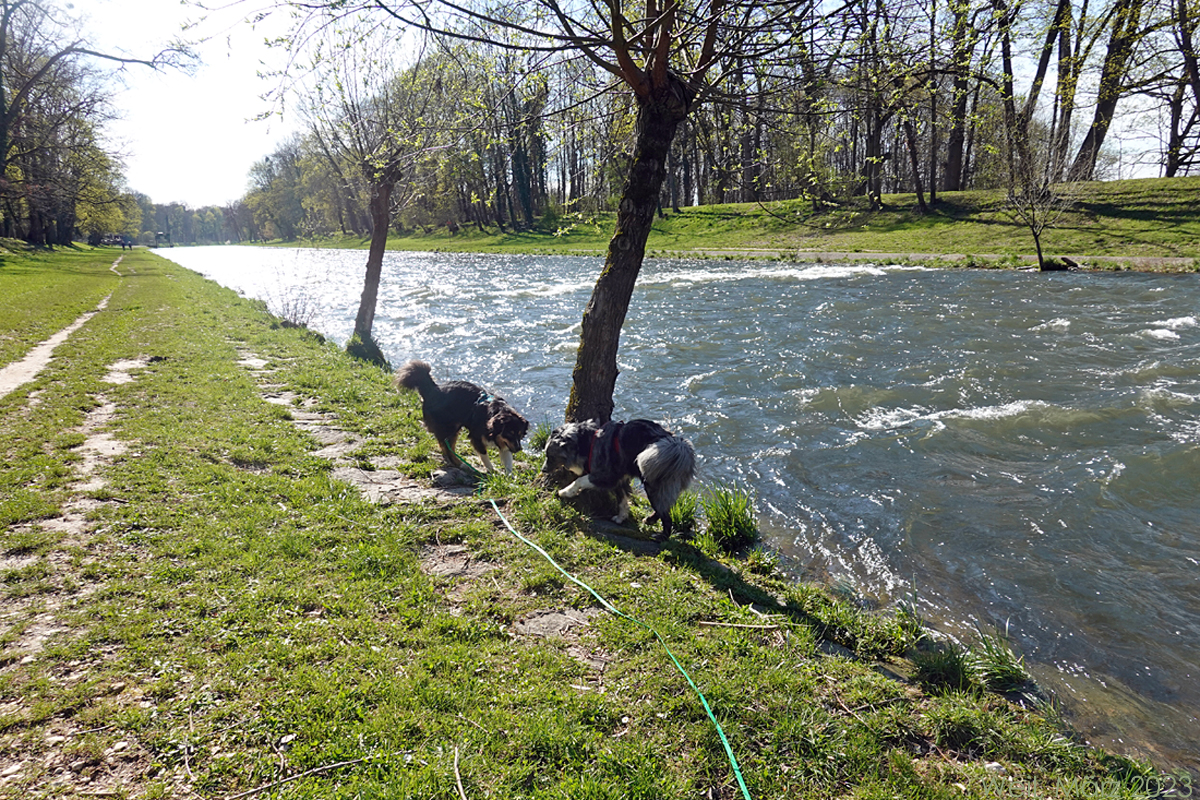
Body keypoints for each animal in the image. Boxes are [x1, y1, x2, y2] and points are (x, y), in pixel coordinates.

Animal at [396, 359, 528, 472]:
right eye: (509, 433)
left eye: (520, 434)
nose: (519, 449)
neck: (494, 413)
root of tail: (433, 389)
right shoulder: (476, 437)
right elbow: (484, 455)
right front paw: (491, 472)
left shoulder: (505, 443)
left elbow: (508, 461)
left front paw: (509, 480)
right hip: (450, 427)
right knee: (447, 447)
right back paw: (461, 464)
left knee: (445, 446)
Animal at [542, 419, 696, 537]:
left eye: (550, 456)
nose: (543, 470)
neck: (588, 443)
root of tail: (680, 446)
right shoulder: (619, 479)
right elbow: (622, 499)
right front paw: (621, 518)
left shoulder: (606, 476)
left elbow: (579, 481)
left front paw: (565, 492)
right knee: (664, 507)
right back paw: (650, 520)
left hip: (653, 483)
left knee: (666, 515)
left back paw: (661, 536)